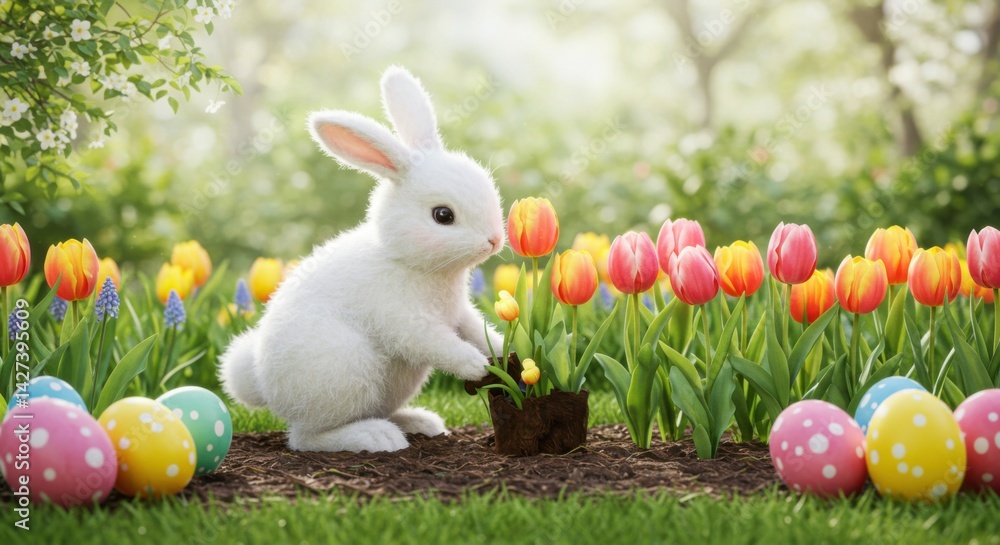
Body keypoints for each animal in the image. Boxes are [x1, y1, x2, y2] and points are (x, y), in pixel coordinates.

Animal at [219, 66, 506, 453]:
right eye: (443, 215)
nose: (495, 240)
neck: (405, 259)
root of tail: (261, 383)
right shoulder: (405, 321)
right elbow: (436, 343)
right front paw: (476, 366)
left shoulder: (459, 315)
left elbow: (477, 330)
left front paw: (504, 348)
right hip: (345, 371)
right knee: (306, 437)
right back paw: (377, 437)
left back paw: (419, 423)